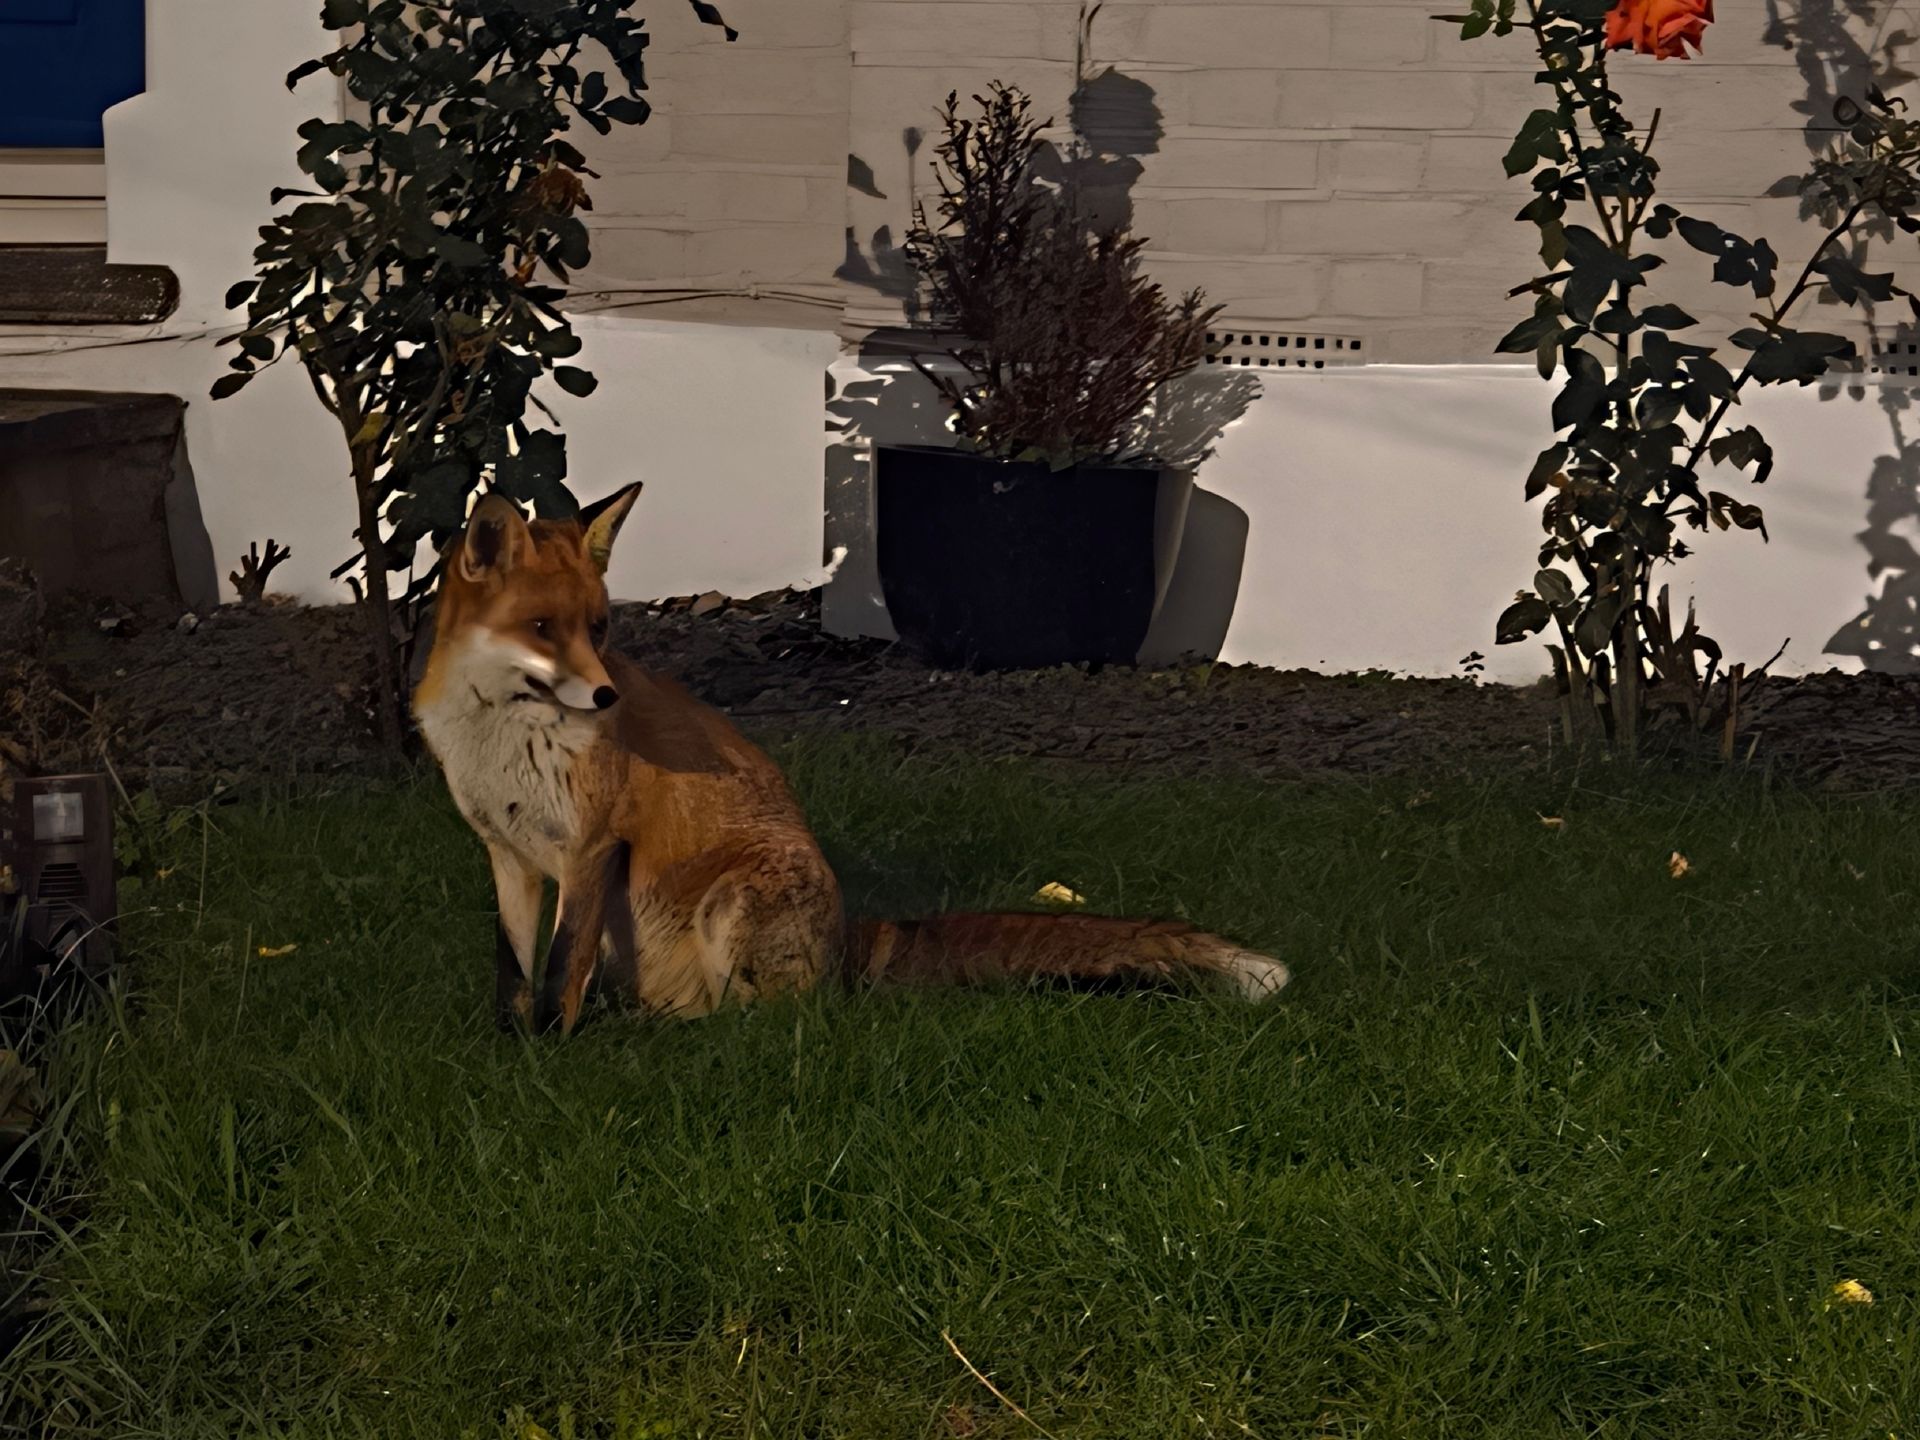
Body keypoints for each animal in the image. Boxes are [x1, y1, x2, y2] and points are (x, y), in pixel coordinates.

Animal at [412, 483, 1291, 1035]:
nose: (603, 697)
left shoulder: (593, 848)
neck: (500, 733)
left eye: (598, 629)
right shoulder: (510, 856)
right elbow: (514, 970)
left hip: (732, 901)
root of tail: (847, 943)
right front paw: (508, 1048)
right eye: (542, 630)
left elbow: (560, 970)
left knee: (776, 1020)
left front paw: (548, 1054)